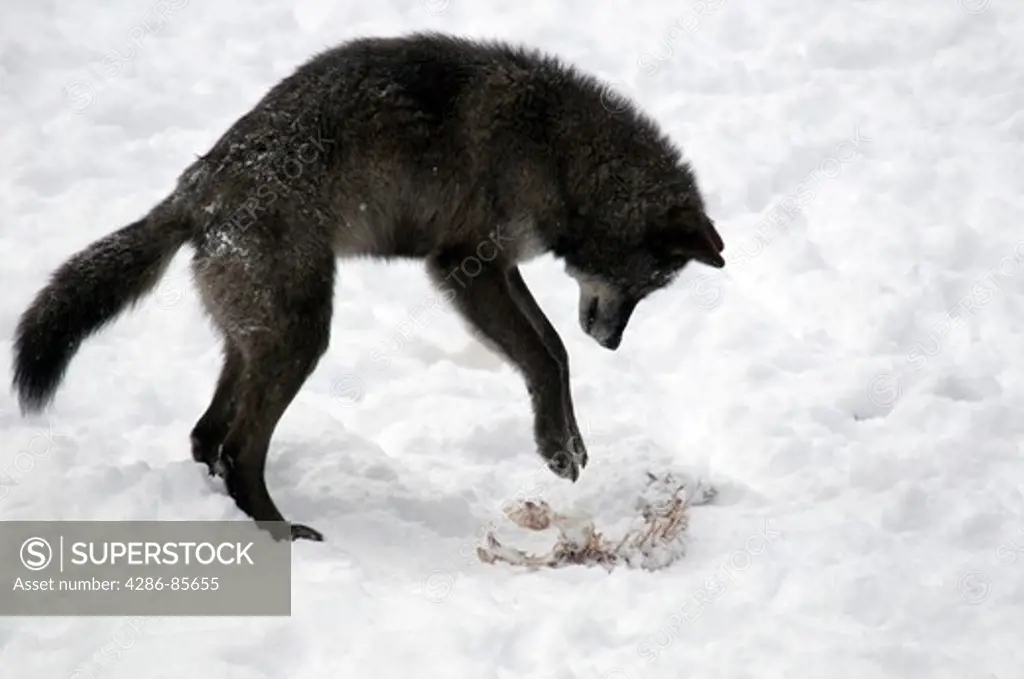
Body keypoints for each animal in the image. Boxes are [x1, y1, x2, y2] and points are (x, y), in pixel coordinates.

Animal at [12, 31, 724, 540]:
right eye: (647, 284)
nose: (613, 342)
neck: (557, 150)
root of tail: (197, 188)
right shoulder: (466, 265)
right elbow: (546, 357)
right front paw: (557, 449)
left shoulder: (500, 268)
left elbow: (553, 349)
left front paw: (567, 444)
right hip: (301, 337)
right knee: (237, 447)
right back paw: (280, 532)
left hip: (259, 341)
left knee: (204, 436)